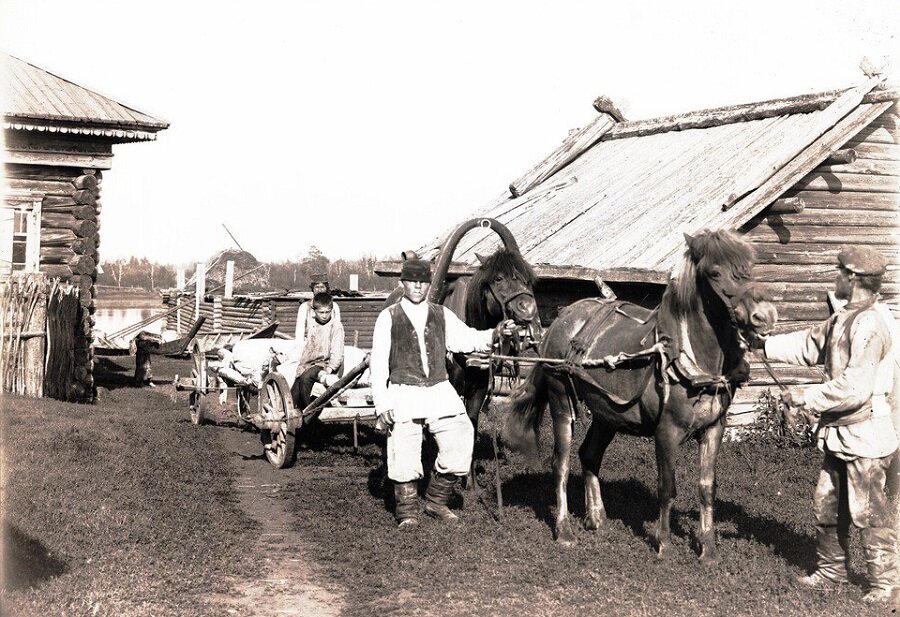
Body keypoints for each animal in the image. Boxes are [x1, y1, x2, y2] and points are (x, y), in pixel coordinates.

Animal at [502, 229, 776, 560]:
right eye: (714, 272)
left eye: (749, 267)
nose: (764, 316)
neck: (691, 360)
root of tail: (562, 319)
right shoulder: (666, 431)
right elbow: (667, 486)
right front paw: (664, 544)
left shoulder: (714, 429)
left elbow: (707, 488)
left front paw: (708, 549)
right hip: (561, 402)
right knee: (561, 464)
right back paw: (564, 530)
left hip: (607, 415)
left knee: (589, 454)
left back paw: (595, 518)